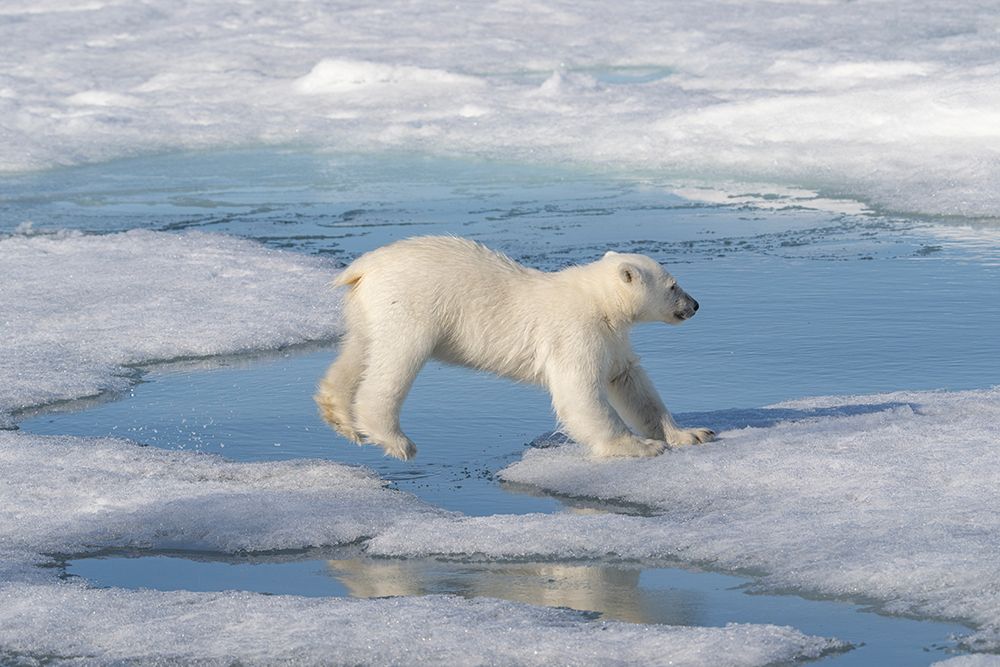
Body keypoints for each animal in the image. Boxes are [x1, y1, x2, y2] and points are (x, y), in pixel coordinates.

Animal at [315, 236, 714, 460]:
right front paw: (638, 446)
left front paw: (689, 434)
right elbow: (579, 392)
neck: (599, 301)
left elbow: (631, 383)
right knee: (395, 361)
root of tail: (364, 266)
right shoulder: (575, 332)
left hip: (366, 308)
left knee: (360, 349)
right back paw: (396, 440)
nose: (695, 305)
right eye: (674, 285)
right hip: (412, 304)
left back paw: (341, 417)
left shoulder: (612, 339)